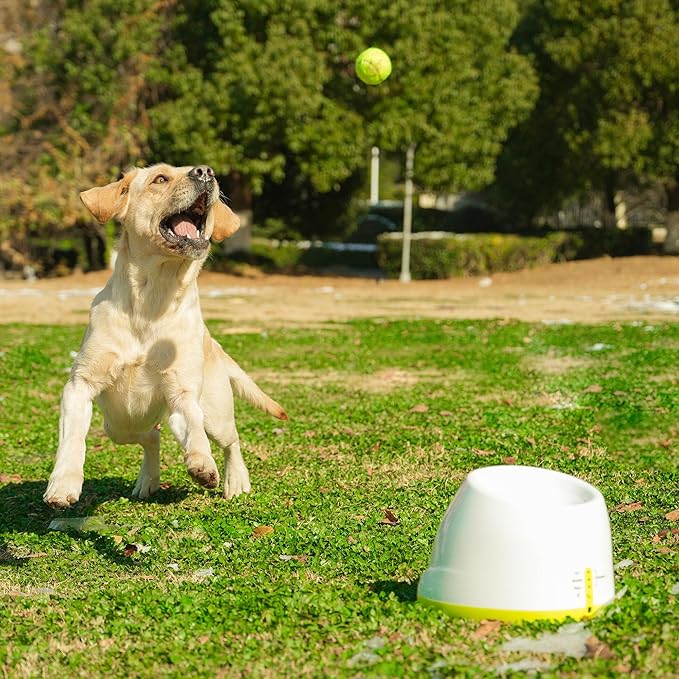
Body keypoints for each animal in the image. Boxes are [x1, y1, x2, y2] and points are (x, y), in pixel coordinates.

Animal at [42, 162, 286, 508]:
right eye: (160, 179)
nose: (206, 172)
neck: (153, 300)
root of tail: (213, 343)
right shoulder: (79, 386)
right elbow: (72, 440)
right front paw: (63, 484)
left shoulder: (183, 392)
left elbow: (195, 432)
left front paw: (202, 463)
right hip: (118, 425)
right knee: (152, 435)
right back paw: (149, 479)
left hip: (215, 413)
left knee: (229, 440)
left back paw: (235, 480)